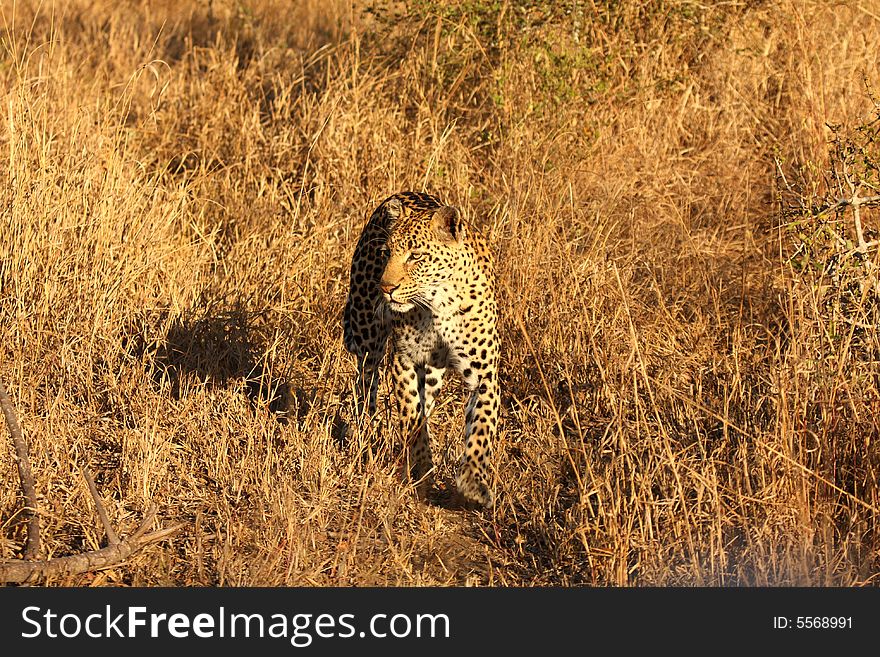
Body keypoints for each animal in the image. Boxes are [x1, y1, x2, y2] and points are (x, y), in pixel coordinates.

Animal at [340, 190, 498, 508]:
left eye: (416, 256)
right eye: (386, 253)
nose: (386, 288)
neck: (441, 304)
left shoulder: (485, 375)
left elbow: (481, 427)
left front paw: (473, 482)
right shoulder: (405, 361)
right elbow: (413, 418)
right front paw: (423, 467)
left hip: (434, 372)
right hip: (366, 332)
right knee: (366, 380)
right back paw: (367, 435)